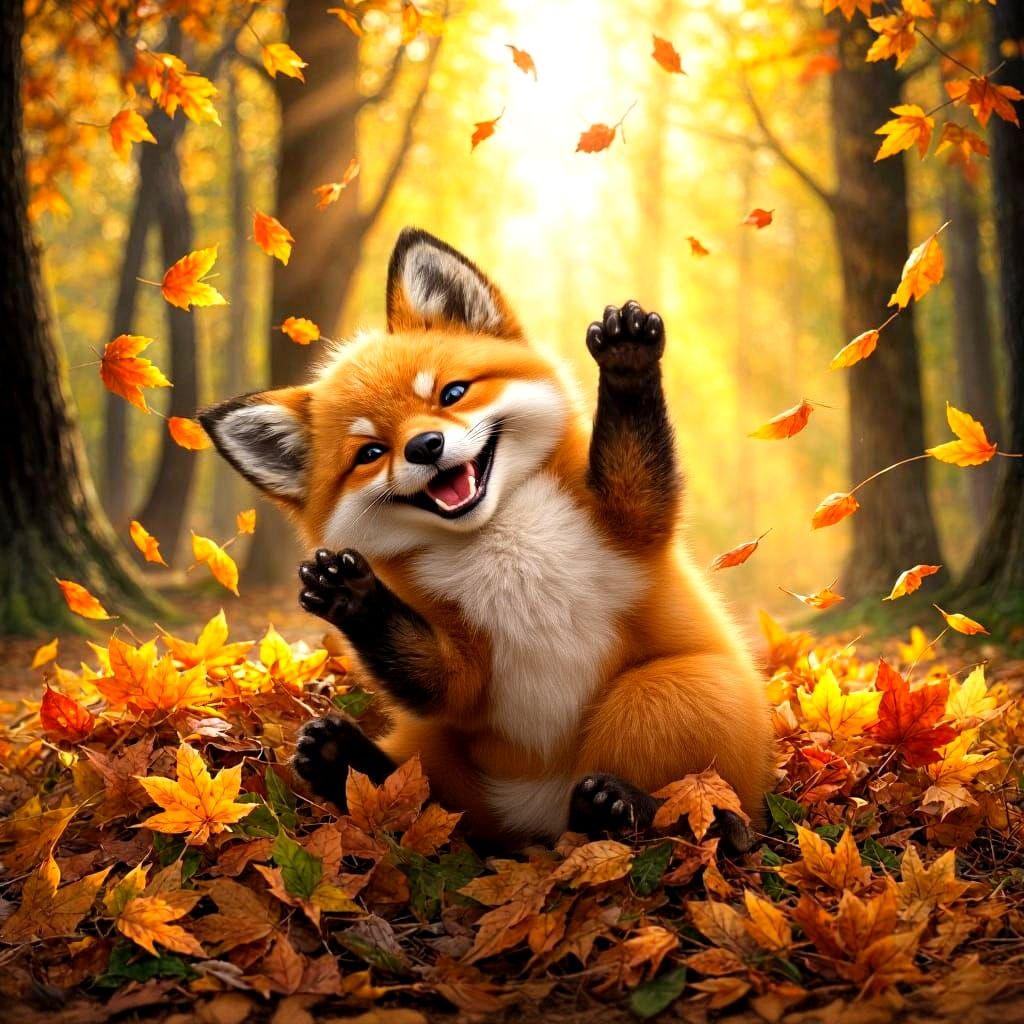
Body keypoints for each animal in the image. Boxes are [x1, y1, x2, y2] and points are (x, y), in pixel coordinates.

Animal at [200, 227, 774, 849]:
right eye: (371, 452)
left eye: (452, 394)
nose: (425, 446)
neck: (503, 541)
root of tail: (541, 819)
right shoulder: (465, 670)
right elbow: (438, 681)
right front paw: (350, 596)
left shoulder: (627, 523)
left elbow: (638, 479)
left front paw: (626, 363)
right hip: (443, 754)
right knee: (429, 803)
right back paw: (341, 758)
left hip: (667, 690)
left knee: (700, 810)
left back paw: (626, 807)